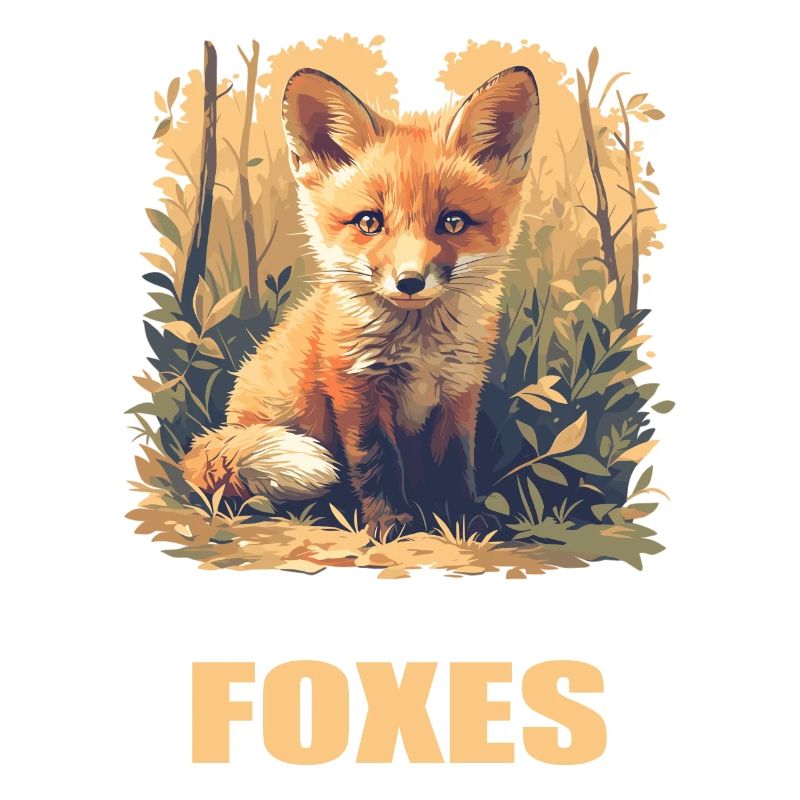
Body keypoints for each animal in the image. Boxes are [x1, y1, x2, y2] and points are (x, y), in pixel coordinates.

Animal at [183, 65, 540, 533]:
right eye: (369, 222)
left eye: (453, 222)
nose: (410, 281)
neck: (419, 348)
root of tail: (225, 426)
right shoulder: (354, 385)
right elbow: (375, 462)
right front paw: (391, 523)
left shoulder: (459, 389)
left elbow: (456, 463)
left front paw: (463, 521)